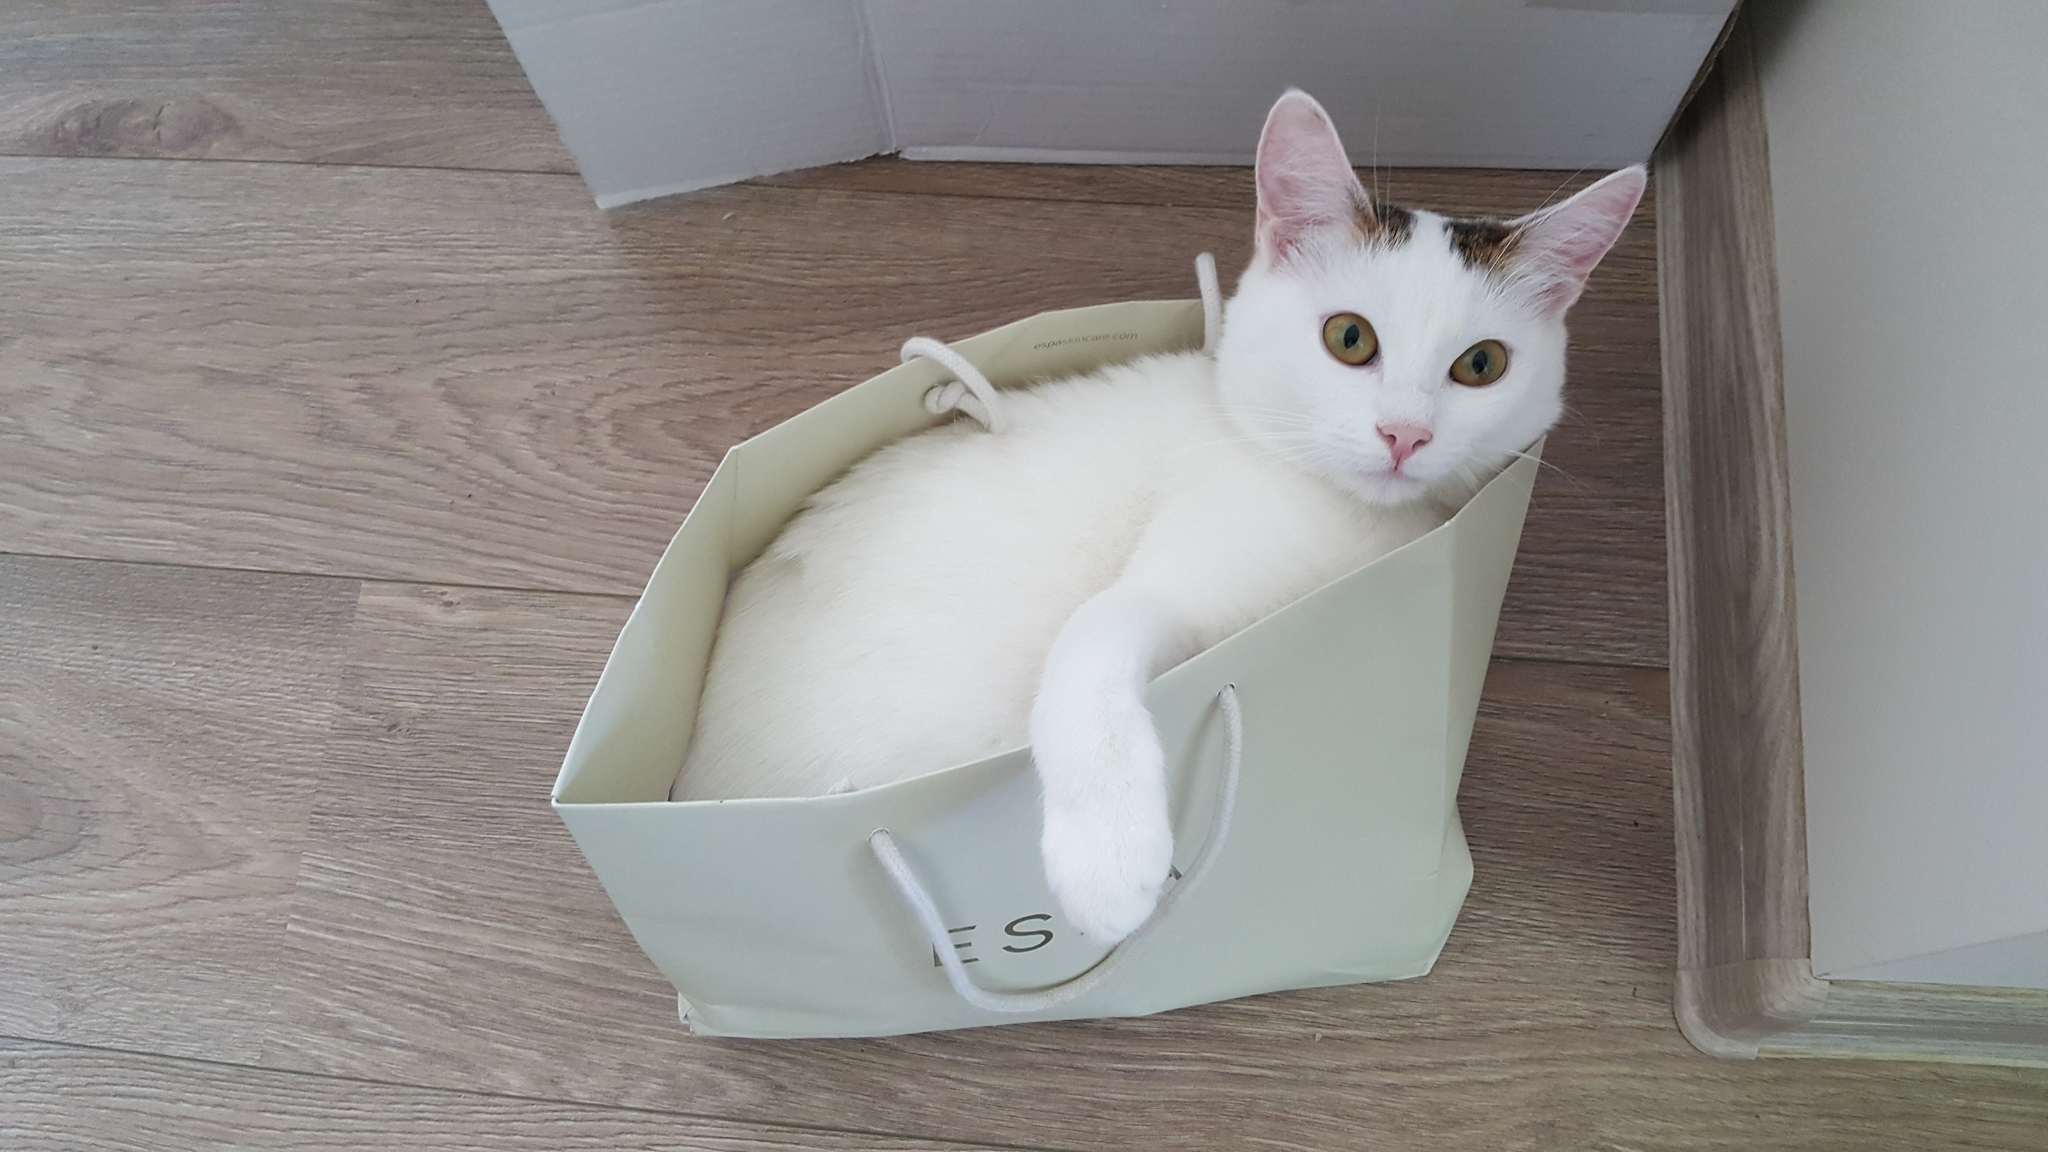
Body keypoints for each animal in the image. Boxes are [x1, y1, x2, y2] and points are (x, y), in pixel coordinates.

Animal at [673, 89, 1644, 946]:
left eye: (1482, 364)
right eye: (1350, 339)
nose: (1405, 434)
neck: (1358, 530)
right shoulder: (1164, 582)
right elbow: (1094, 654)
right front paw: (1108, 862)